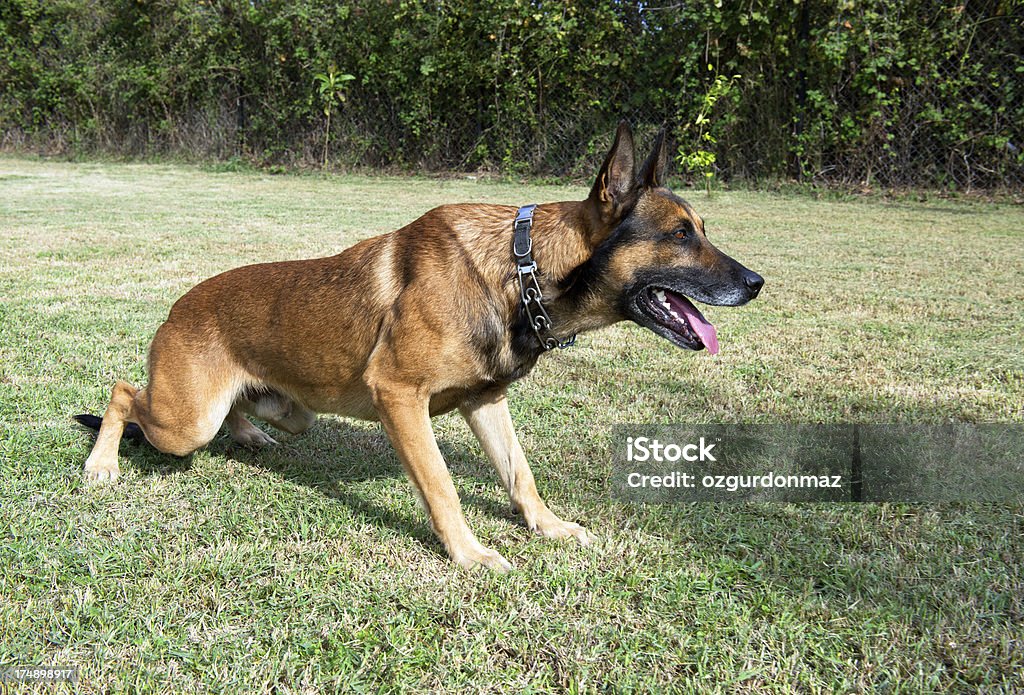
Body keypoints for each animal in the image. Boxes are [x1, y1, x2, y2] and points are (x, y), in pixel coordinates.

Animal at [77, 123, 761, 569]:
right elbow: (442, 487)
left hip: (286, 411)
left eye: (702, 230)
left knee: (245, 409)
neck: (520, 270)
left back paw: (247, 435)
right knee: (122, 392)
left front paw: (548, 527)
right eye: (680, 234)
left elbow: (521, 475)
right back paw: (102, 463)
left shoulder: (486, 402)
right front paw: (471, 555)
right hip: (185, 421)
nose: (756, 282)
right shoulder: (401, 398)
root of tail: (180, 304)